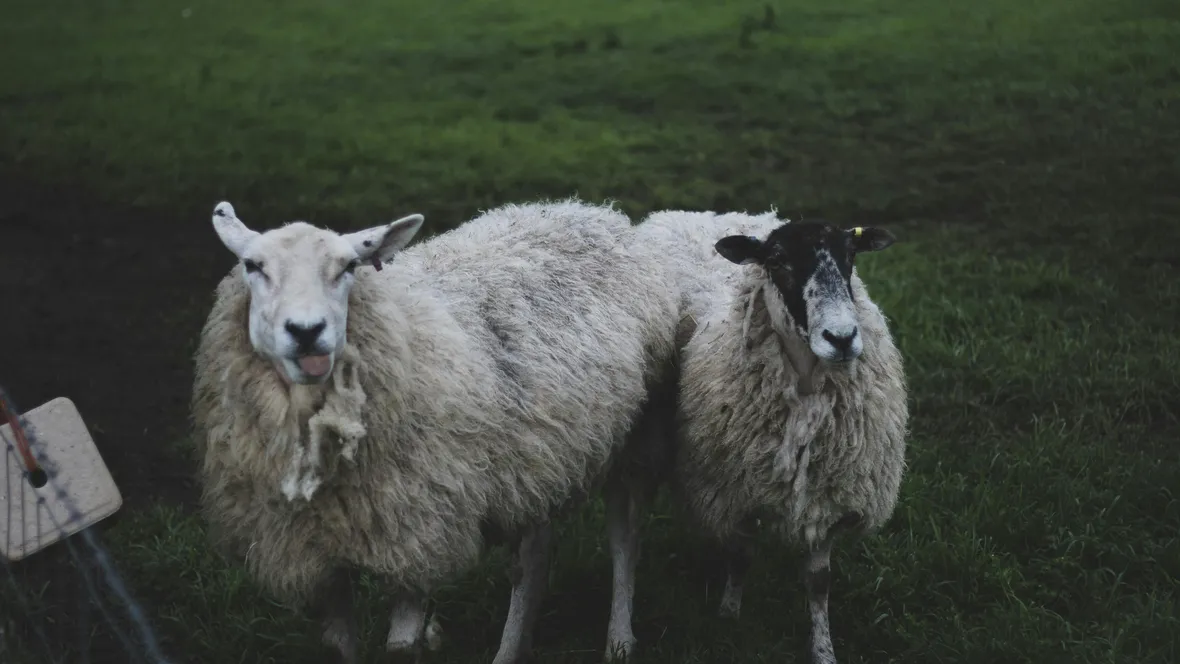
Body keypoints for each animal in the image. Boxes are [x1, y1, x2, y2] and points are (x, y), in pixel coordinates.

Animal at [189, 198, 679, 664]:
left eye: (348, 267)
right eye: (253, 266)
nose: (307, 332)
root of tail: (592, 212)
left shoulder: (417, 533)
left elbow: (401, 648)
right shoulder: (314, 555)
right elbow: (338, 648)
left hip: (632, 438)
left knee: (624, 538)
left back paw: (619, 641)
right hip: (537, 456)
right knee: (534, 555)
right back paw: (511, 651)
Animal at [631, 209, 909, 664]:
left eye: (850, 255)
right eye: (777, 262)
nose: (842, 339)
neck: (806, 389)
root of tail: (697, 213)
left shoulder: (827, 498)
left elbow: (819, 581)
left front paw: (823, 649)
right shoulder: (735, 492)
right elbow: (741, 556)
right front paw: (728, 615)